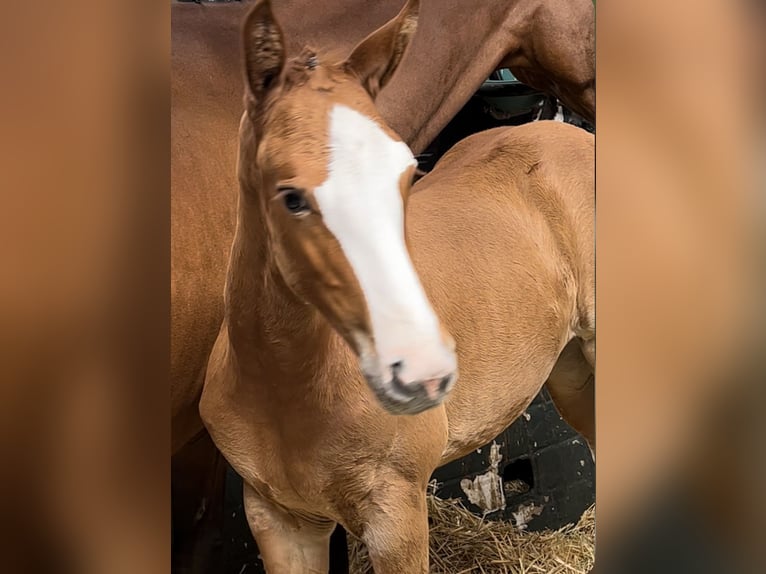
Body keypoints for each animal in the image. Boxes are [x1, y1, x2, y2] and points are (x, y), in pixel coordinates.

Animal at [201, 2, 596, 572]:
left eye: (408, 173)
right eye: (290, 196)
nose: (422, 370)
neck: (286, 390)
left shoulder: (396, 515)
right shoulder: (279, 520)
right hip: (571, 371)